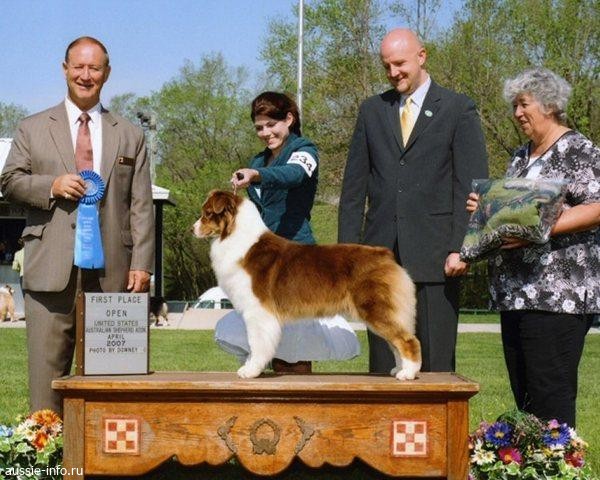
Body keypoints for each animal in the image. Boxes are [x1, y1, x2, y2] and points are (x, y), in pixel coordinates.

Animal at [193, 190, 421, 380]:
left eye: (207, 213)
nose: (192, 228)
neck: (235, 236)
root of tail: (385, 255)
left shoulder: (258, 311)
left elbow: (256, 343)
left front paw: (250, 371)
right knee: (396, 342)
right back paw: (398, 369)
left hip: (376, 309)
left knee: (408, 340)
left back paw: (408, 373)